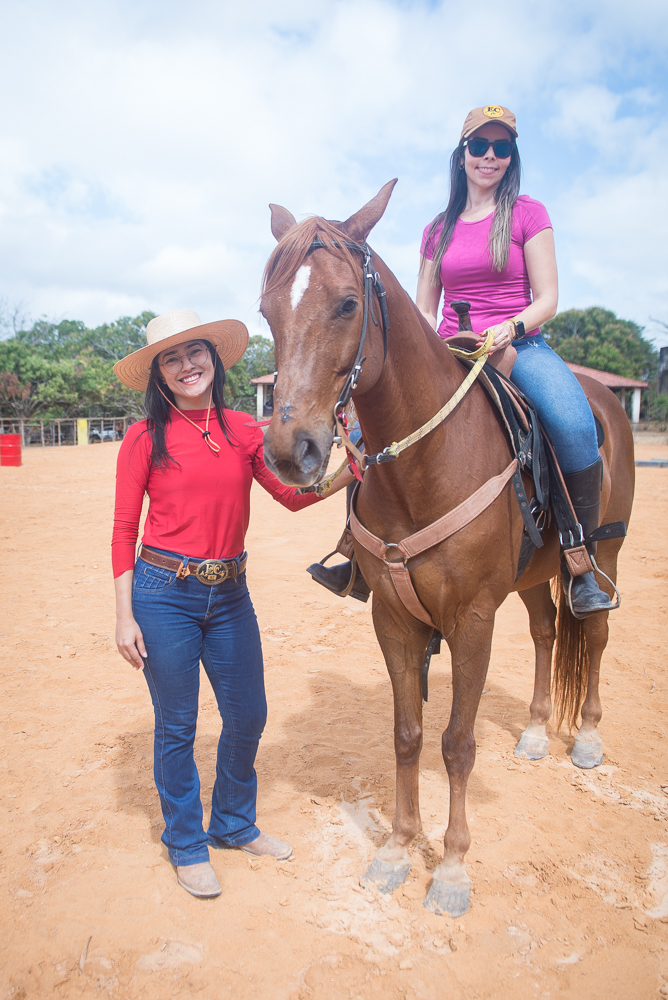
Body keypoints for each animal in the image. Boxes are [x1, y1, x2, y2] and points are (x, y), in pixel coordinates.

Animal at [258, 180, 636, 916]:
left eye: (347, 304)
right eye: (265, 312)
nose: (294, 451)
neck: (423, 465)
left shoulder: (472, 621)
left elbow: (457, 743)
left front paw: (453, 868)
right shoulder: (394, 619)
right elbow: (407, 736)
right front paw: (397, 848)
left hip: (602, 555)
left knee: (594, 631)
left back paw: (587, 737)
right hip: (532, 577)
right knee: (548, 633)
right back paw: (535, 730)